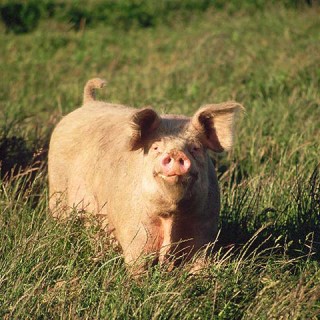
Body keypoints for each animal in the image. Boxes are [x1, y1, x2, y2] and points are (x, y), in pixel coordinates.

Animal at [48, 78, 242, 270]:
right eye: (156, 147)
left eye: (195, 148)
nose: (175, 153)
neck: (171, 216)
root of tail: (88, 103)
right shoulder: (135, 228)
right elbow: (139, 261)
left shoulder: (205, 227)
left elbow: (199, 262)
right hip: (58, 188)